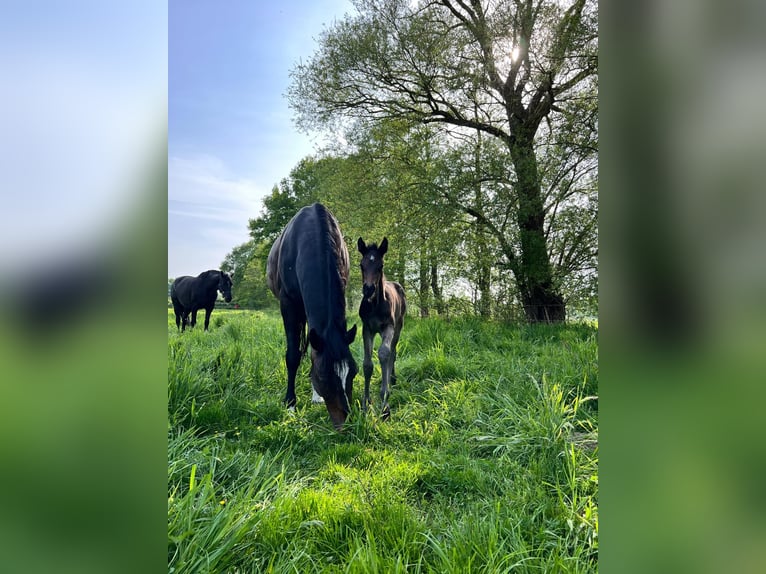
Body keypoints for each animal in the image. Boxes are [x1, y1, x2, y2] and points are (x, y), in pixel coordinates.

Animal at [267, 203, 358, 430]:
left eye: (354, 372)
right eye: (324, 377)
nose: (346, 423)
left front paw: (316, 395)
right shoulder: (288, 304)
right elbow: (293, 355)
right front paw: (290, 405)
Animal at [357, 237, 406, 420]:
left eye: (381, 265)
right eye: (361, 265)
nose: (368, 289)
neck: (375, 305)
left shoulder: (388, 327)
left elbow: (384, 353)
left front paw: (385, 405)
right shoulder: (367, 329)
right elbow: (367, 364)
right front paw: (366, 403)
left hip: (399, 326)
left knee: (392, 352)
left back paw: (391, 380)